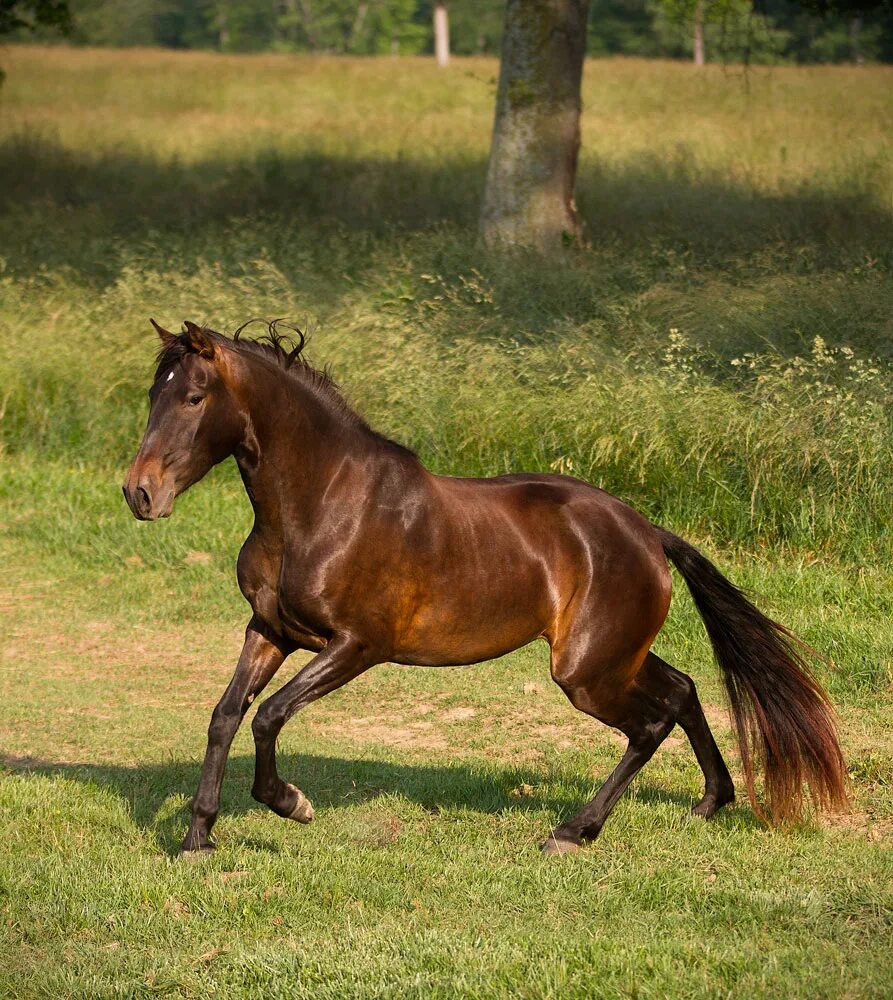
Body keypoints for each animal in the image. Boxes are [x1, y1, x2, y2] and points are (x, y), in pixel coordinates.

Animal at [123, 324, 844, 856]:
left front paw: (291, 804)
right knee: (684, 690)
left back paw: (571, 833)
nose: (139, 493)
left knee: (649, 724)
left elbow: (269, 715)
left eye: (193, 398)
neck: (323, 502)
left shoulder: (356, 646)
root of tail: (648, 534)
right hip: (612, 656)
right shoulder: (270, 631)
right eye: (153, 395)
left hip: (586, 673)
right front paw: (196, 838)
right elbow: (225, 716)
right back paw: (710, 801)